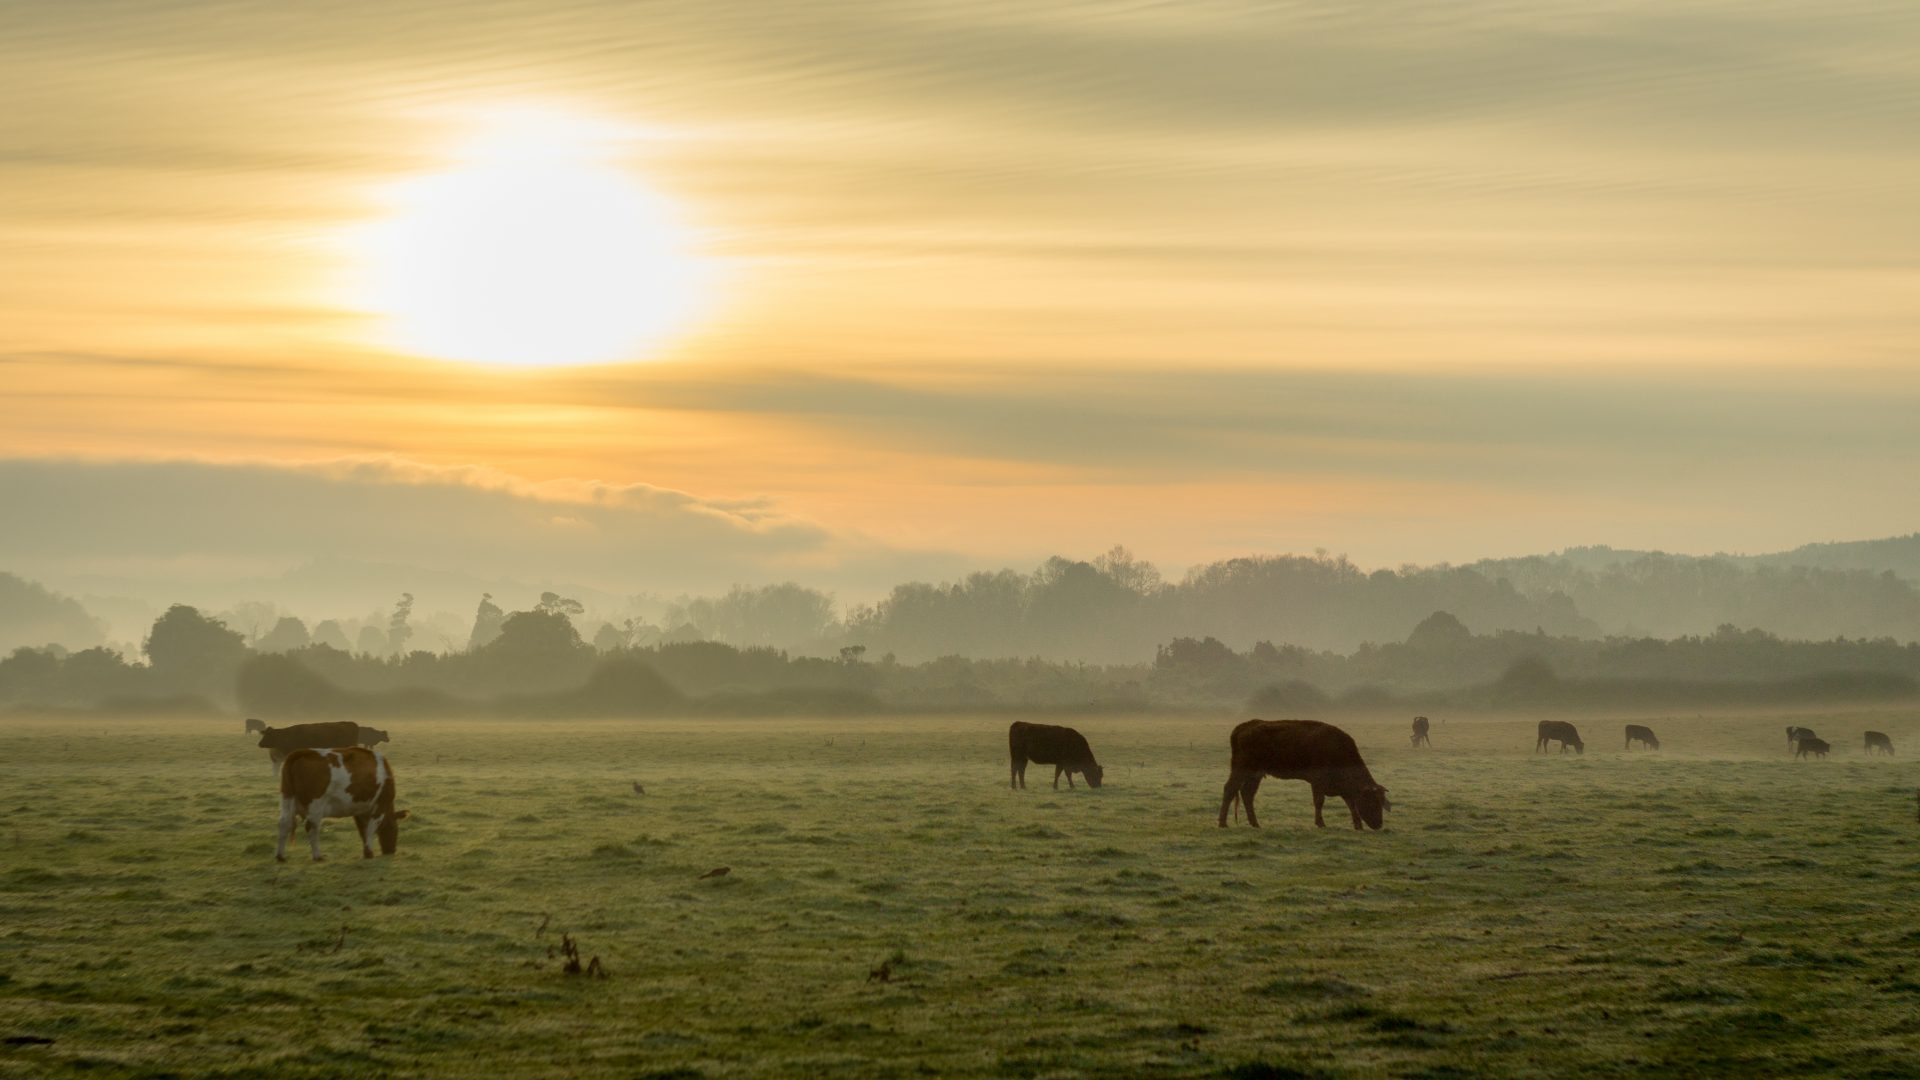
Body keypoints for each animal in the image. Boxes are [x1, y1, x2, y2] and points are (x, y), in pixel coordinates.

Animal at [274, 745, 408, 860]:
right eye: (395, 829)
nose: (391, 851)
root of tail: (300, 753)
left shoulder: (359, 810)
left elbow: (363, 831)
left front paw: (366, 853)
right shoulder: (380, 806)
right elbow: (370, 830)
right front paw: (369, 852)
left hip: (287, 798)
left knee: (284, 824)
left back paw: (280, 856)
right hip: (315, 805)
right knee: (311, 827)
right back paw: (317, 856)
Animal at [1221, 718, 1390, 826]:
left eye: (1381, 802)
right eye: (1371, 801)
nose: (1378, 824)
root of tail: (1243, 727)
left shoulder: (1341, 788)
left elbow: (1350, 803)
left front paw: (1358, 825)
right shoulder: (1317, 782)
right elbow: (1319, 801)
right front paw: (1320, 823)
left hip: (1255, 775)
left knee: (1247, 794)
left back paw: (1255, 823)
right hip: (1241, 769)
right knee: (1230, 789)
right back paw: (1223, 823)